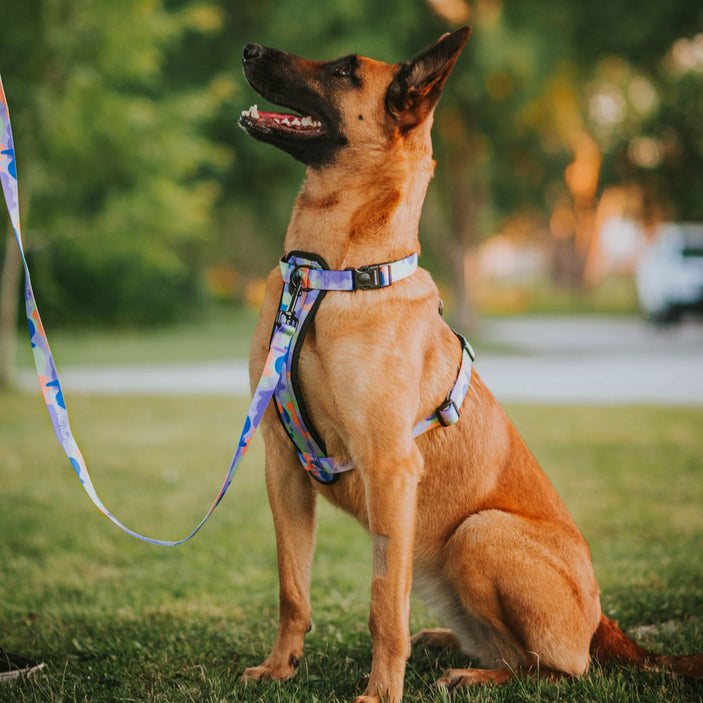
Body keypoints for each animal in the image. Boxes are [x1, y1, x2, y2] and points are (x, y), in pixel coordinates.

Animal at [238, 27, 703, 703]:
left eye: (346, 70)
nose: (248, 50)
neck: (328, 276)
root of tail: (602, 620)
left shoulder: (390, 468)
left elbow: (383, 603)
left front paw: (380, 692)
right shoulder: (282, 466)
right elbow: (291, 589)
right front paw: (280, 668)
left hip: (478, 532)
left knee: (556, 666)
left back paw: (472, 672)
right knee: (505, 646)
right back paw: (447, 644)